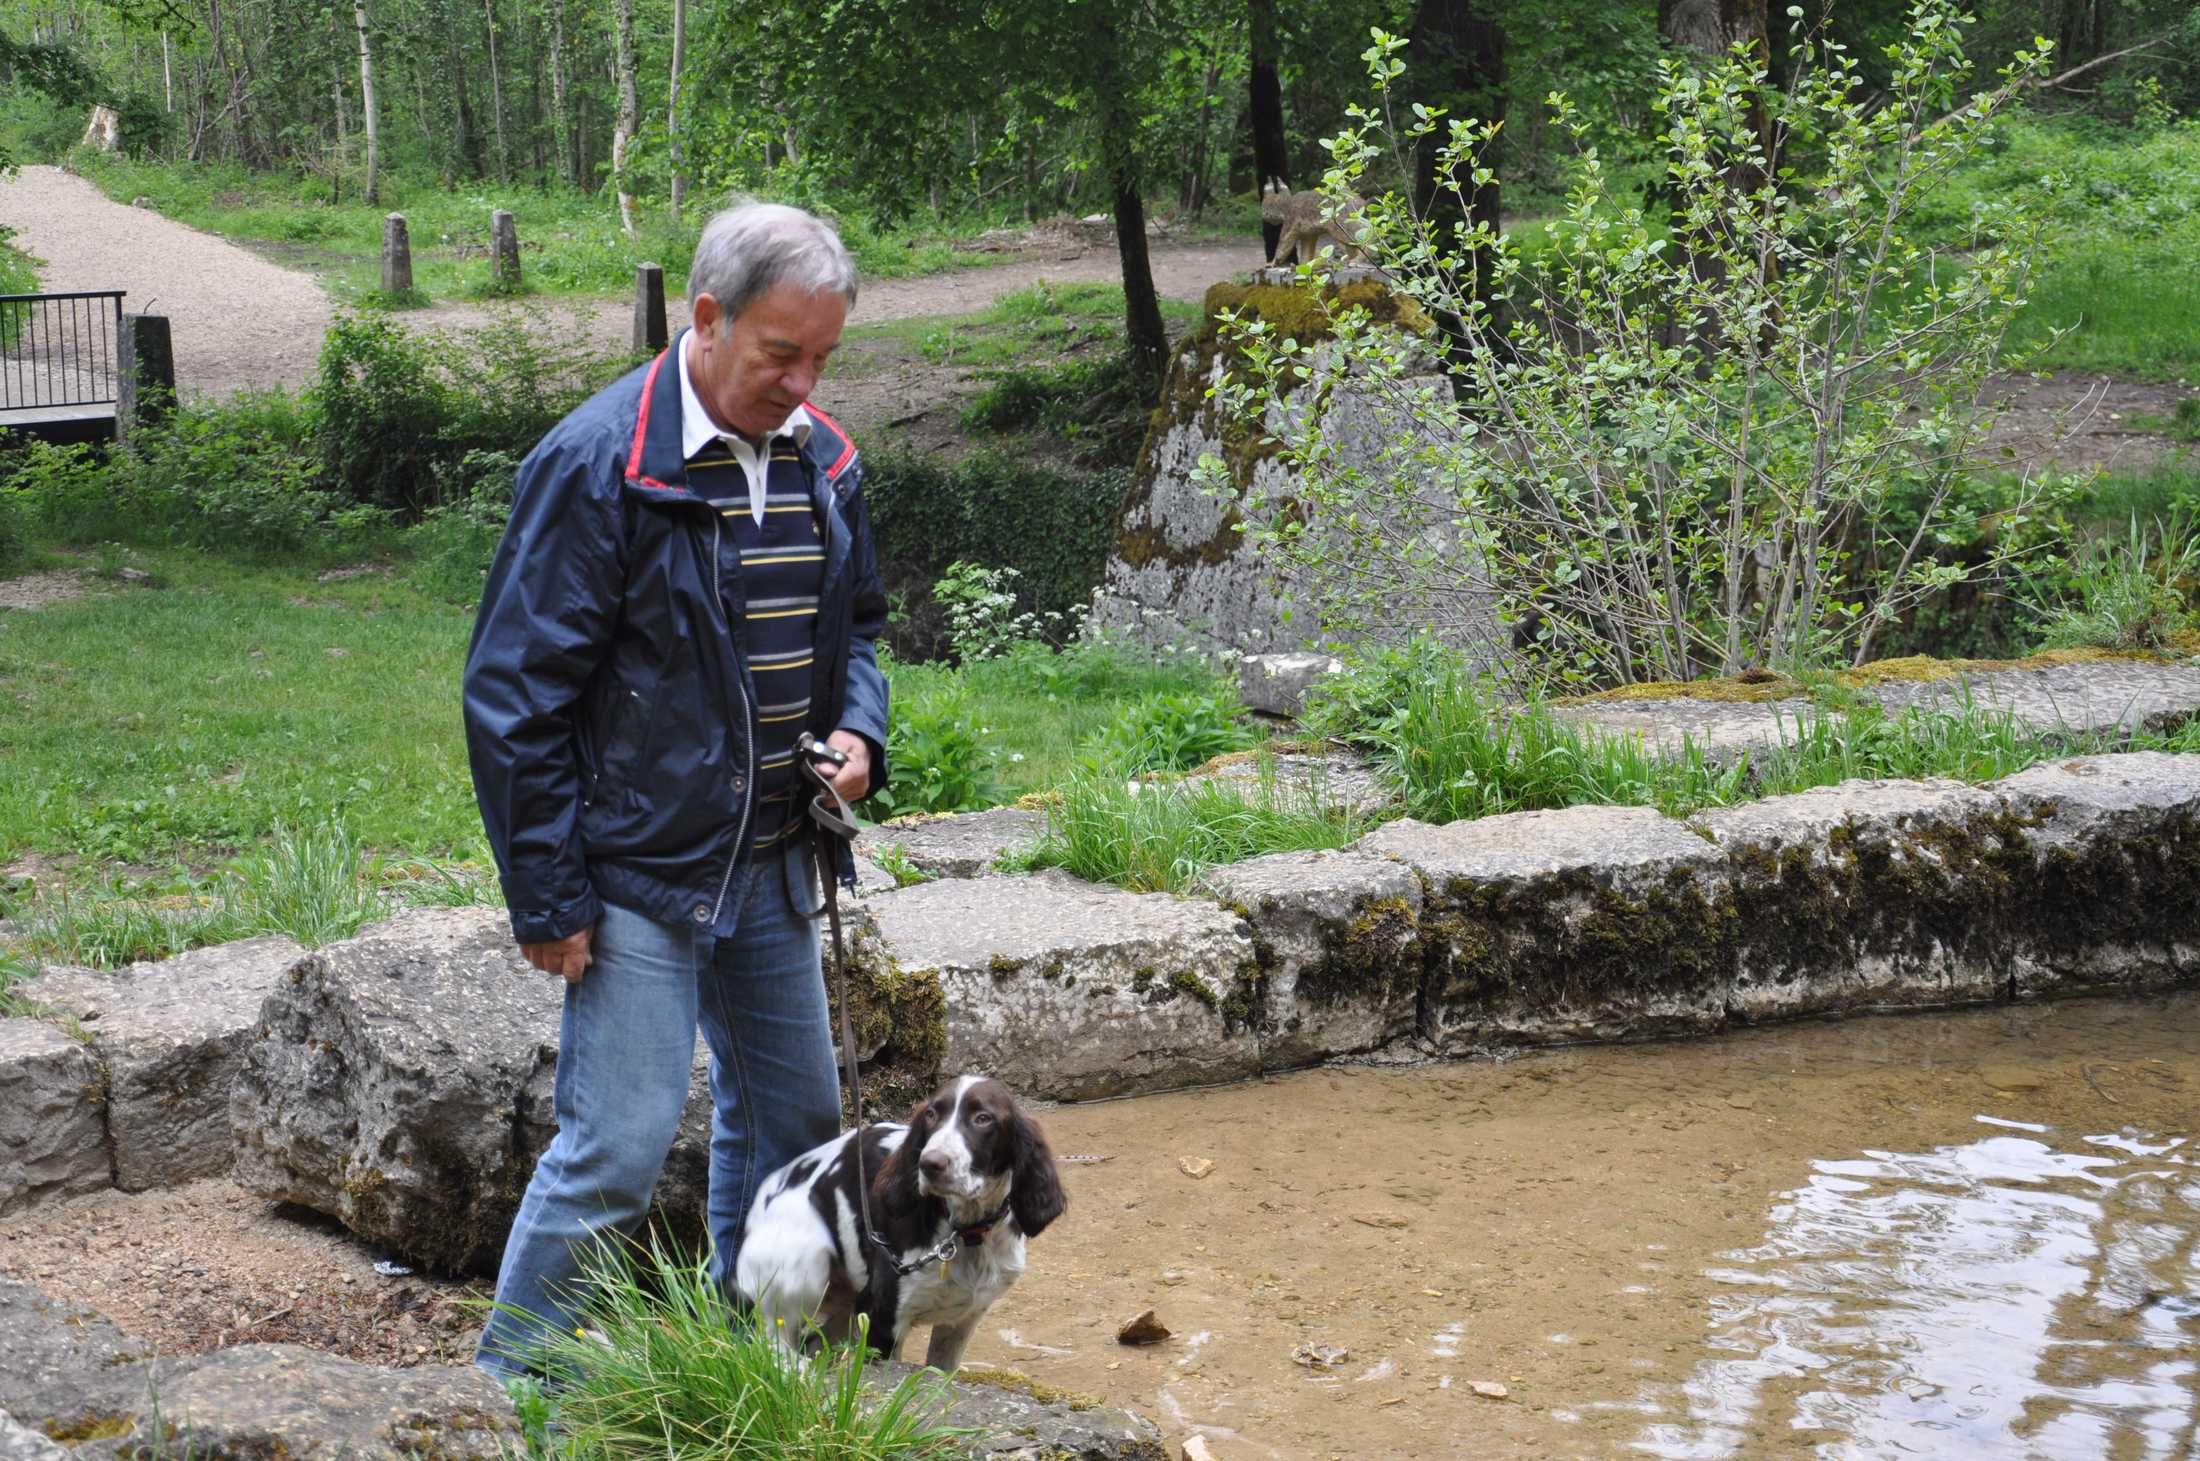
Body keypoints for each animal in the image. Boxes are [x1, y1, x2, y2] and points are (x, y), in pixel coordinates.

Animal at [734, 1074, 1067, 1372]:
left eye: (983, 1118)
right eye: (931, 1114)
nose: (929, 1163)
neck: (963, 1231)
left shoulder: (963, 1319)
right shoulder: (883, 1317)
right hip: (806, 1261)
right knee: (769, 1339)